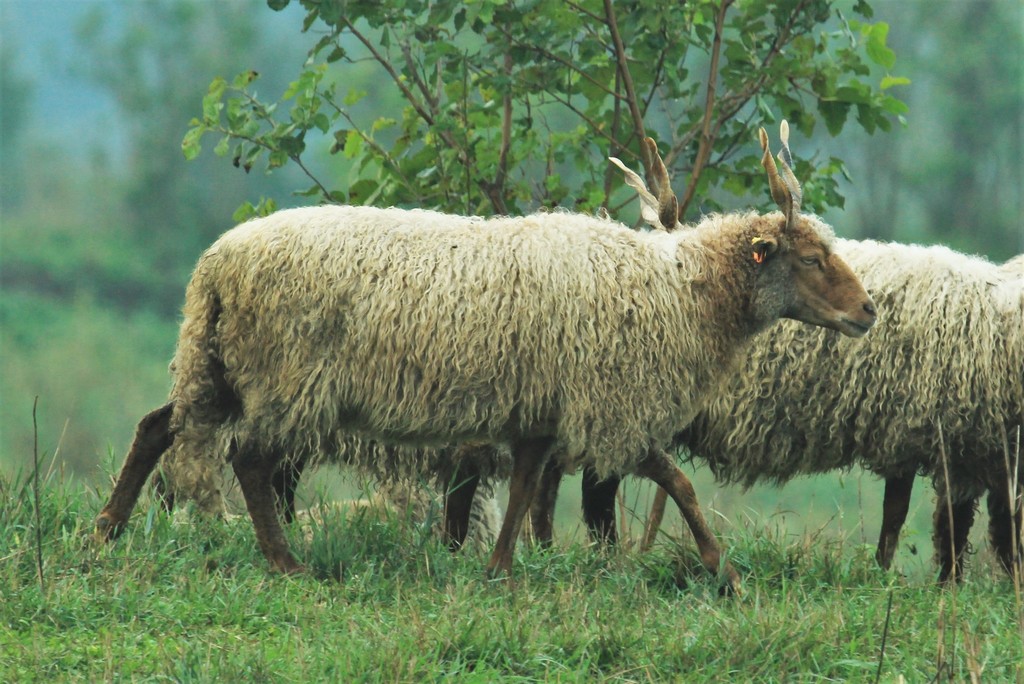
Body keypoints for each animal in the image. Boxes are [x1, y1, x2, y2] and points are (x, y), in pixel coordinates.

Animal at [94, 123, 876, 590]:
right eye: (812, 258)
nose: (868, 311)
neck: (679, 292)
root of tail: (217, 265)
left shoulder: (542, 409)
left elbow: (526, 486)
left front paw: (499, 567)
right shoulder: (610, 402)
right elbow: (676, 483)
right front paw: (724, 573)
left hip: (220, 363)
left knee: (159, 425)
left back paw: (106, 533)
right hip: (285, 373)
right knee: (249, 459)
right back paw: (286, 563)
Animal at [554, 156, 1023, 582]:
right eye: (812, 260)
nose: (868, 310)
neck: (999, 324)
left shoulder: (937, 444)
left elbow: (924, 519)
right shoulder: (944, 442)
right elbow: (943, 524)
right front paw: (931, 584)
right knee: (593, 489)